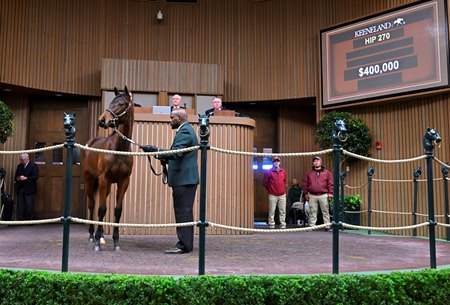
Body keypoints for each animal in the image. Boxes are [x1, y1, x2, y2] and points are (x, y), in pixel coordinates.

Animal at [81, 85, 134, 249]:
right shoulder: (103, 179)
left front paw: (116, 242)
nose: (102, 120)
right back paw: (92, 235)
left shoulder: (124, 181)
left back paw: (102, 235)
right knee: (92, 205)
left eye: (121, 104)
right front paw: (97, 242)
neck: (118, 149)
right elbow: (101, 209)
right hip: (90, 180)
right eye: (111, 102)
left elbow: (117, 211)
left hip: (108, 185)